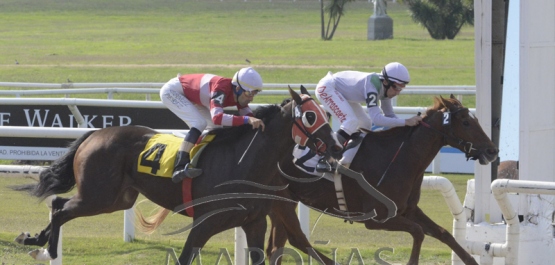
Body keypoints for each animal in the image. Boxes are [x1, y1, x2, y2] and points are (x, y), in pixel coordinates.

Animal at [13, 87, 344, 264]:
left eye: (325, 112)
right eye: (310, 116)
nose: (337, 146)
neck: (246, 163)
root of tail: (95, 133)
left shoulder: (254, 223)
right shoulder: (204, 223)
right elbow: (186, 256)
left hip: (117, 199)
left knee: (60, 205)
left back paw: (35, 239)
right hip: (98, 195)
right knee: (60, 208)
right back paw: (47, 248)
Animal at [264, 95, 500, 264]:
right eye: (466, 122)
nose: (492, 151)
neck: (400, 157)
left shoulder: (408, 209)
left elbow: (443, 233)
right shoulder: (376, 218)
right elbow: (418, 231)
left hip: (283, 202)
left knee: (277, 247)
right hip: (282, 200)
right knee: (297, 240)